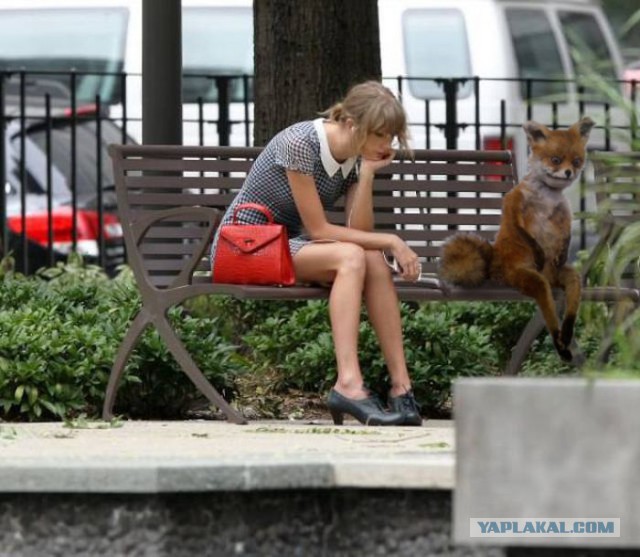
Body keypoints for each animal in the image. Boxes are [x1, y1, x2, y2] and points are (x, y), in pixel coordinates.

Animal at [440, 117, 596, 360]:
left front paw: (562, 249)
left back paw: (566, 336)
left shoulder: (564, 214)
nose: (569, 172)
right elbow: (523, 232)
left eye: (577, 161)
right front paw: (538, 250)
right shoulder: (514, 204)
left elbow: (566, 235)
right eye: (556, 160)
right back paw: (559, 341)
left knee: (570, 304)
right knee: (548, 311)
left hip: (570, 278)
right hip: (532, 280)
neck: (547, 198)